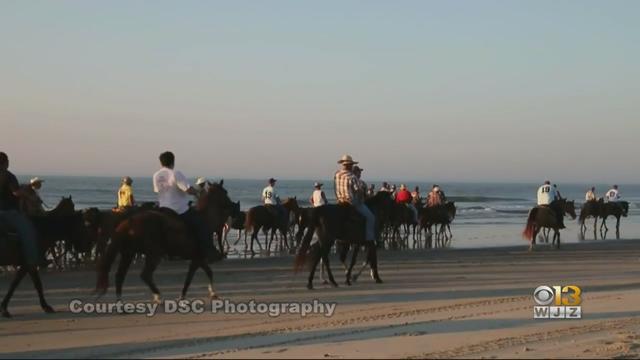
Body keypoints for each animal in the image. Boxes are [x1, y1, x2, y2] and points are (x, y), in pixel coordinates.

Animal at [97, 181, 240, 302]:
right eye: (225, 192)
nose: (234, 207)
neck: (206, 218)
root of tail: (129, 221)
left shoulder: (197, 259)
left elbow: (203, 274)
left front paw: (205, 293)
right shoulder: (198, 259)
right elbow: (195, 276)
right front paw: (206, 293)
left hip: (129, 253)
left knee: (120, 275)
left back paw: (120, 300)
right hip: (153, 254)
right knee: (145, 275)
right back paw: (157, 296)